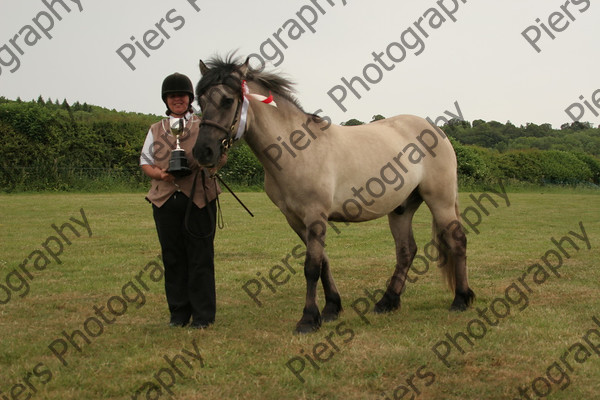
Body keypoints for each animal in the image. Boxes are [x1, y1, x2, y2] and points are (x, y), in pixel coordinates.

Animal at [192, 54, 474, 332]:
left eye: (228, 100)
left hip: (440, 201)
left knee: (456, 241)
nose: (202, 152)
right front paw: (331, 308)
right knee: (406, 250)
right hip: (401, 208)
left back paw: (461, 299)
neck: (295, 149)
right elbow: (323, 262)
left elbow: (311, 267)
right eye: (200, 101)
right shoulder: (295, 219)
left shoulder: (315, 215)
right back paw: (387, 302)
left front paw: (308, 319)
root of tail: (437, 131)